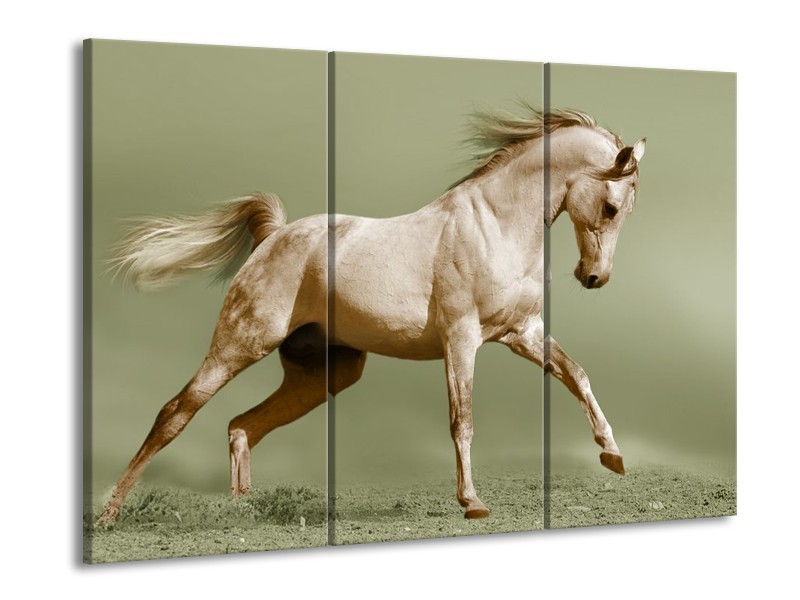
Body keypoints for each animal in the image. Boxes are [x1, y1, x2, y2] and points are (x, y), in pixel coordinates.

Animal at [96, 107, 645, 526]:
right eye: (612, 207)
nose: (594, 277)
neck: (493, 225)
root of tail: (274, 236)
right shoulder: (461, 340)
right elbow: (462, 420)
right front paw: (472, 503)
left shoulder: (522, 334)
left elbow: (577, 375)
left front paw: (613, 455)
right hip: (240, 344)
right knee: (175, 414)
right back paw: (109, 513)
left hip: (324, 375)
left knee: (242, 426)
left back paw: (243, 511)